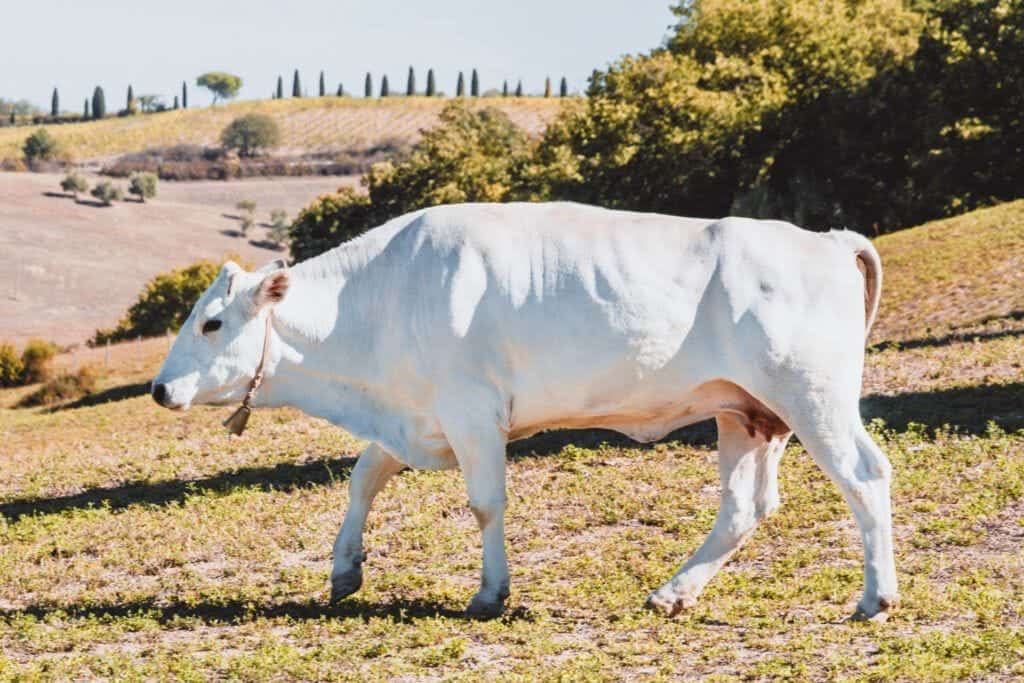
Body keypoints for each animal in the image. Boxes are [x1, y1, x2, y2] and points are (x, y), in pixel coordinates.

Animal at [152, 202, 897, 621]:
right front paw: (344, 569)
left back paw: (874, 599)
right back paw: (673, 592)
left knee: (865, 476)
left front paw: (490, 593)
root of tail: (827, 239)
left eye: (212, 323)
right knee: (745, 507)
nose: (159, 389)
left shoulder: (471, 412)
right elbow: (363, 478)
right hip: (748, 413)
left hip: (813, 396)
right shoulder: (416, 414)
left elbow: (485, 504)